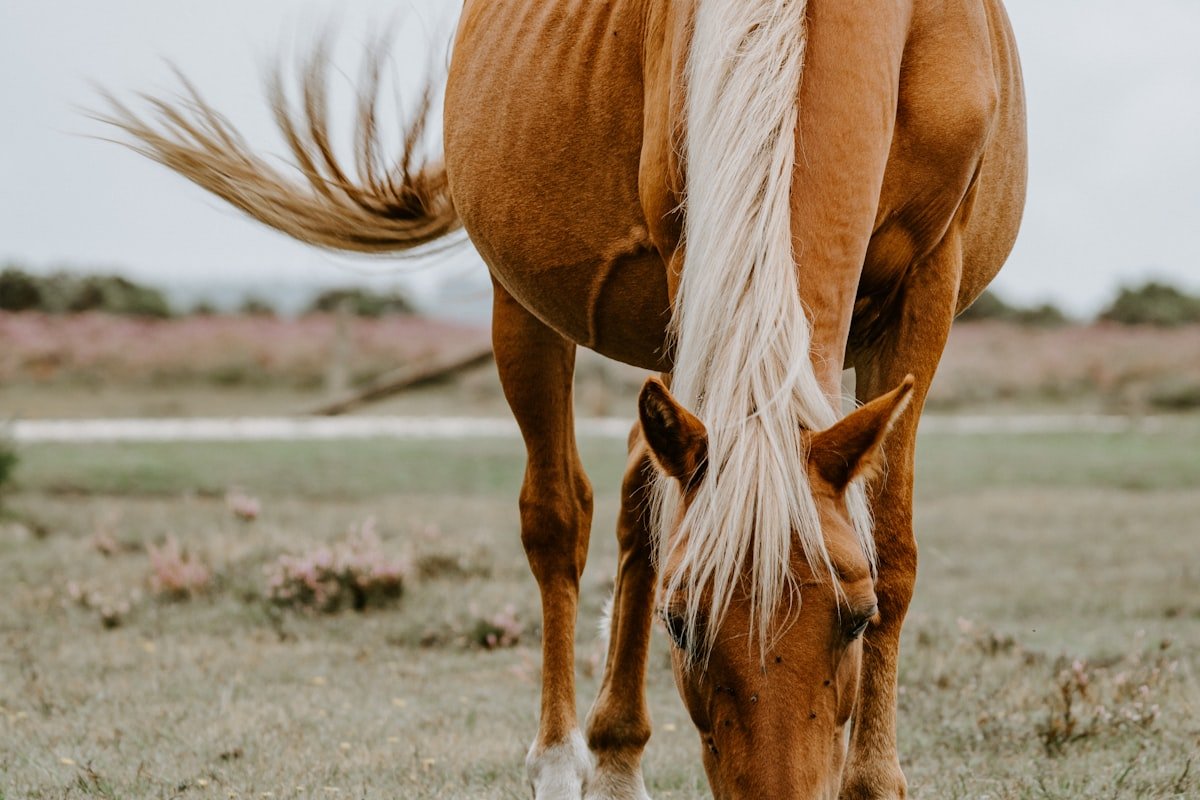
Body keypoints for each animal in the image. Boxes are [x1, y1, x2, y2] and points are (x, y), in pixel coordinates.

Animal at [104, 0, 1026, 796]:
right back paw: (570, 761)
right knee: (563, 516)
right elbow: (631, 531)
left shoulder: (928, 284)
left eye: (857, 618)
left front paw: (874, 781)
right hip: (528, 308)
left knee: (638, 497)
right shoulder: (688, 254)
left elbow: (893, 545)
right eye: (680, 625)